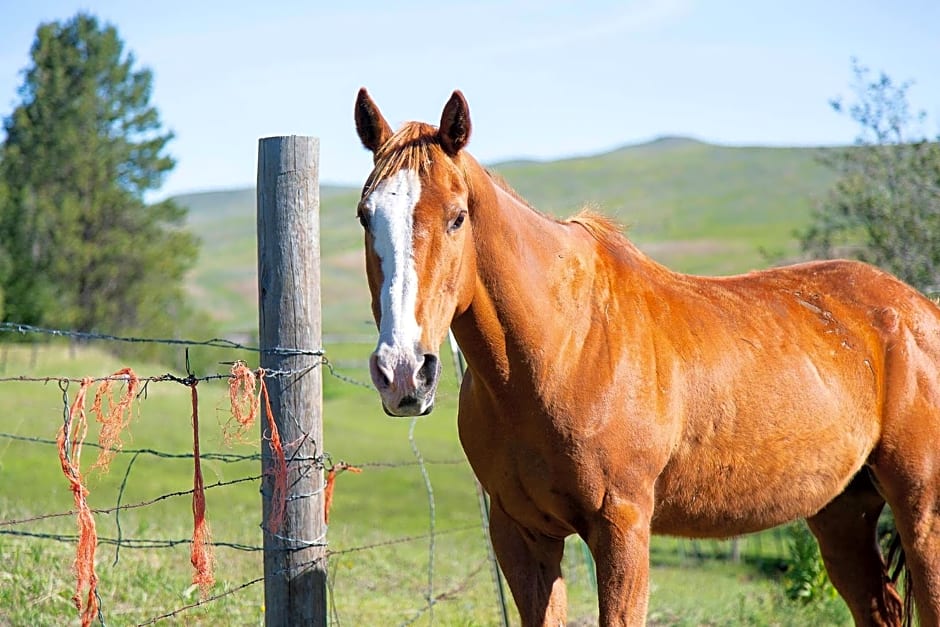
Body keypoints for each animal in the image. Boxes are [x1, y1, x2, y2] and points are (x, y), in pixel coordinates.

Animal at [354, 89, 940, 627]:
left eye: (457, 218)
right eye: (365, 216)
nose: (403, 371)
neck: (563, 349)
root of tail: (917, 309)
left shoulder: (623, 527)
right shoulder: (521, 532)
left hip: (921, 510)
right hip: (842, 511)